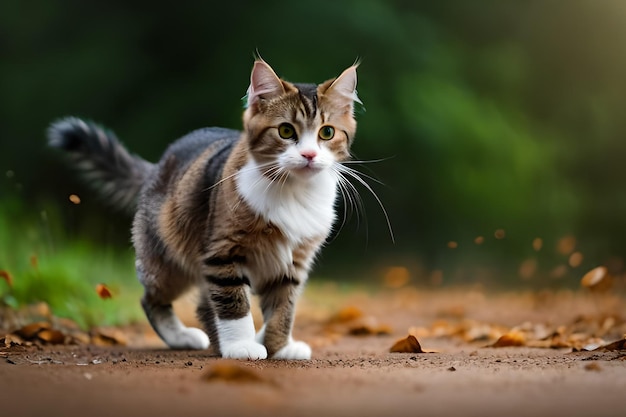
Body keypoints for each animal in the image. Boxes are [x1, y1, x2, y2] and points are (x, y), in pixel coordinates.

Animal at [50, 58, 360, 358]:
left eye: (327, 133)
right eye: (286, 131)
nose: (309, 155)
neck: (294, 191)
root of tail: (157, 166)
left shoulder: (293, 263)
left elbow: (283, 308)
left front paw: (278, 346)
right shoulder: (223, 252)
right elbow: (234, 304)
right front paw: (242, 346)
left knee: (202, 305)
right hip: (168, 264)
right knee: (151, 299)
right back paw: (183, 337)